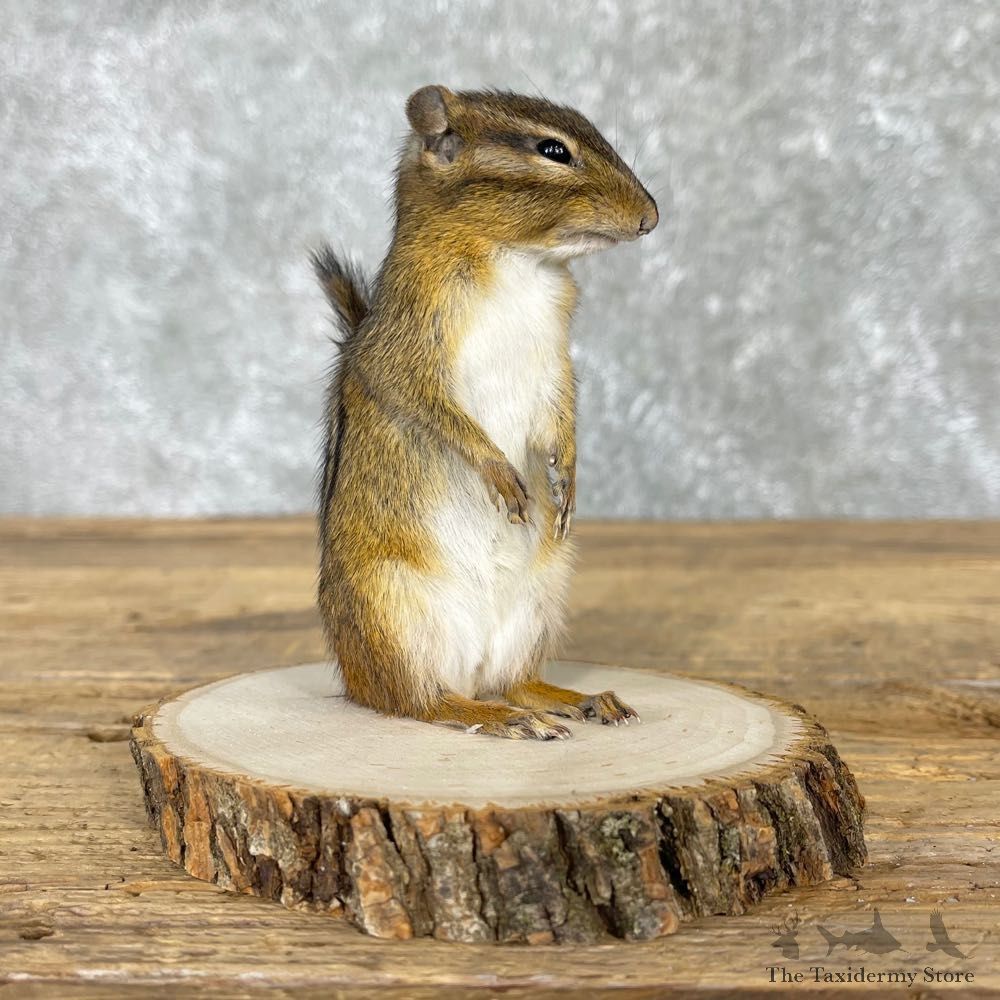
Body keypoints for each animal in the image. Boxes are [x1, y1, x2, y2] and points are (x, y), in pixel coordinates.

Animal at [313, 86, 657, 740]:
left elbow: (564, 415)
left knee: (515, 681)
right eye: (553, 150)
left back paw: (578, 700)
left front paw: (566, 479)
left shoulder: (556, 364)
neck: (519, 261)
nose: (652, 217)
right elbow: (437, 412)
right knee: (420, 701)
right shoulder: (406, 351)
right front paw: (501, 473)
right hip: (395, 613)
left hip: (539, 603)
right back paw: (498, 718)